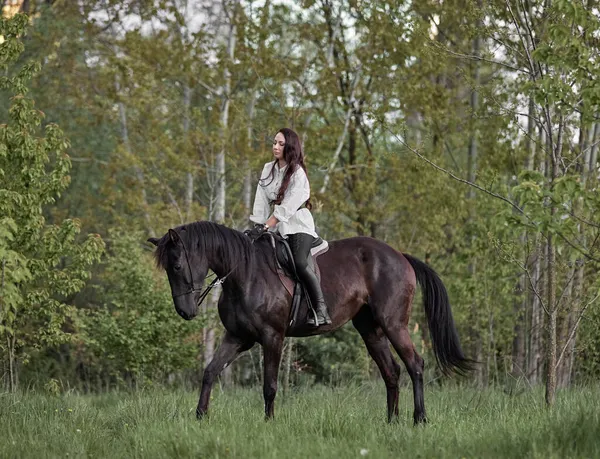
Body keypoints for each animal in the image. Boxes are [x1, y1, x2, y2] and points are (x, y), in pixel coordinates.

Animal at [148, 221, 472, 426]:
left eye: (177, 265)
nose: (185, 312)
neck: (246, 273)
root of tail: (399, 256)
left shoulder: (272, 337)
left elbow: (269, 385)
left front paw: (269, 422)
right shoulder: (237, 337)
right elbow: (210, 372)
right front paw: (200, 416)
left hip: (394, 324)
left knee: (415, 364)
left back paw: (420, 419)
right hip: (371, 329)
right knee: (391, 372)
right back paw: (391, 421)